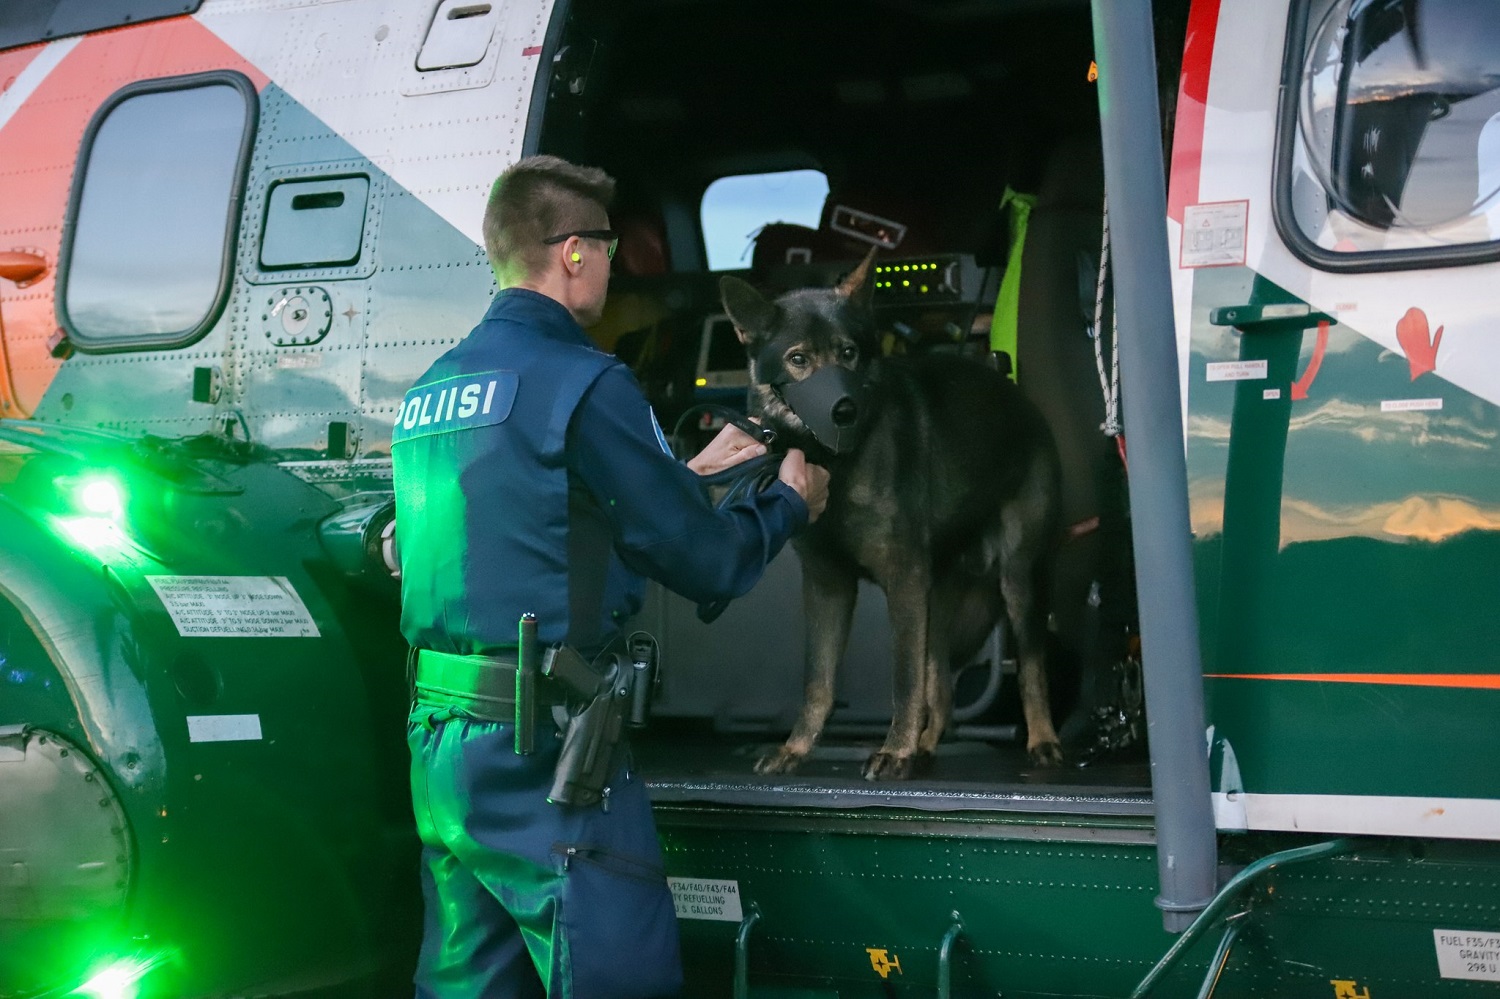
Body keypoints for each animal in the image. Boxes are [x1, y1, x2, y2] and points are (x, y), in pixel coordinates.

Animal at [717, 250, 1062, 780]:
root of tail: (1023, 402)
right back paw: (926, 747)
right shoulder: (828, 585)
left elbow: (904, 679)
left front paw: (894, 751)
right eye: (798, 360)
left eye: (849, 353)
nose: (842, 410)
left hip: (1016, 580)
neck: (835, 463)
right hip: (937, 601)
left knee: (1030, 667)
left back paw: (1041, 741)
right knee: (940, 684)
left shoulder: (903, 580)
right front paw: (796, 749)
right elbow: (819, 681)